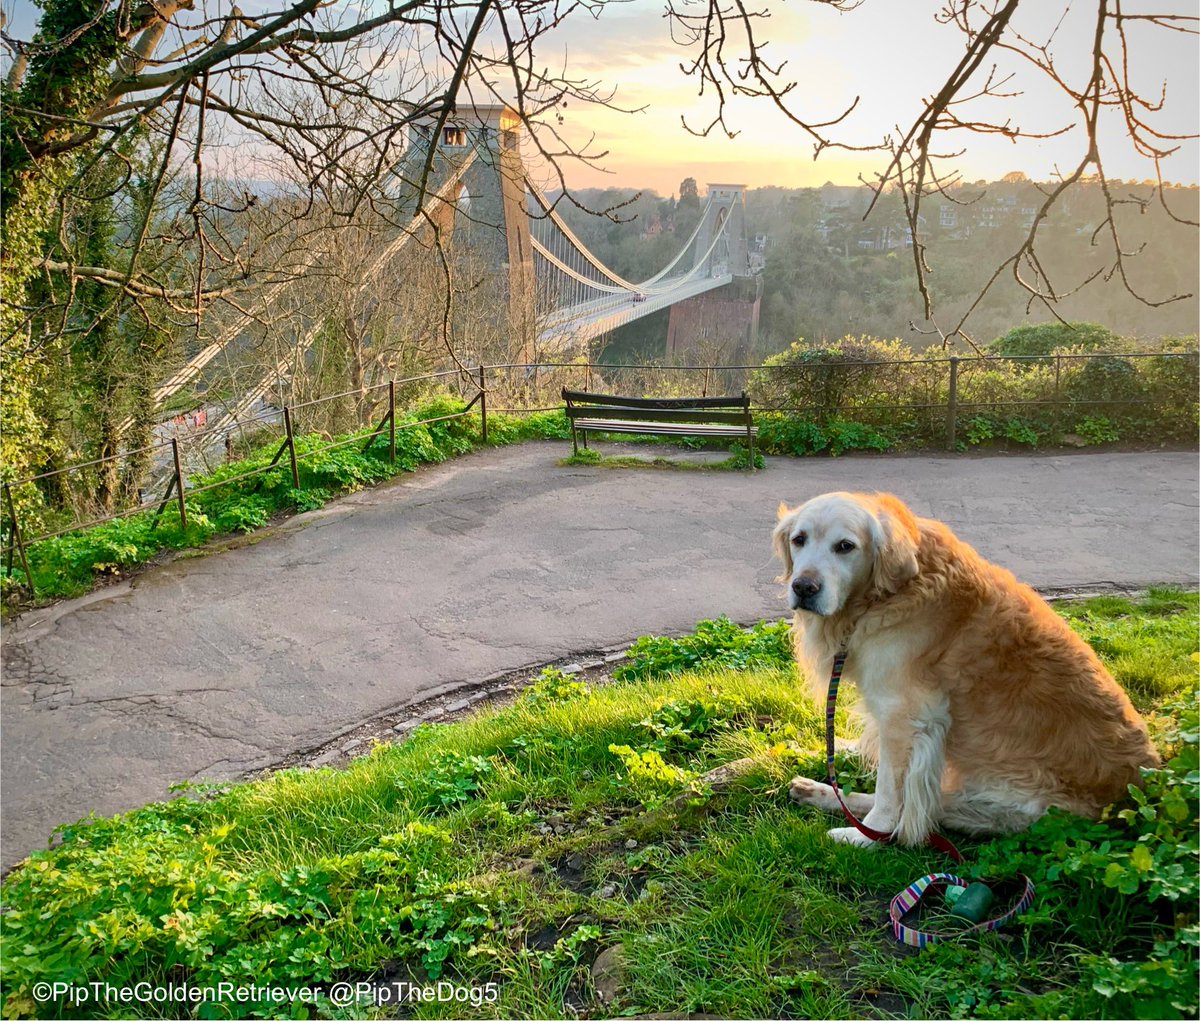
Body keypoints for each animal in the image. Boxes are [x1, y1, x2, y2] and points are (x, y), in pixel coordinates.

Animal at [772, 491, 1156, 849]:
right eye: (799, 539)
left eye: (845, 546)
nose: (803, 587)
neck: (886, 594)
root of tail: (1137, 792)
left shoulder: (907, 713)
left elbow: (889, 792)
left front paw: (866, 837)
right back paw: (815, 790)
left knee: (919, 809)